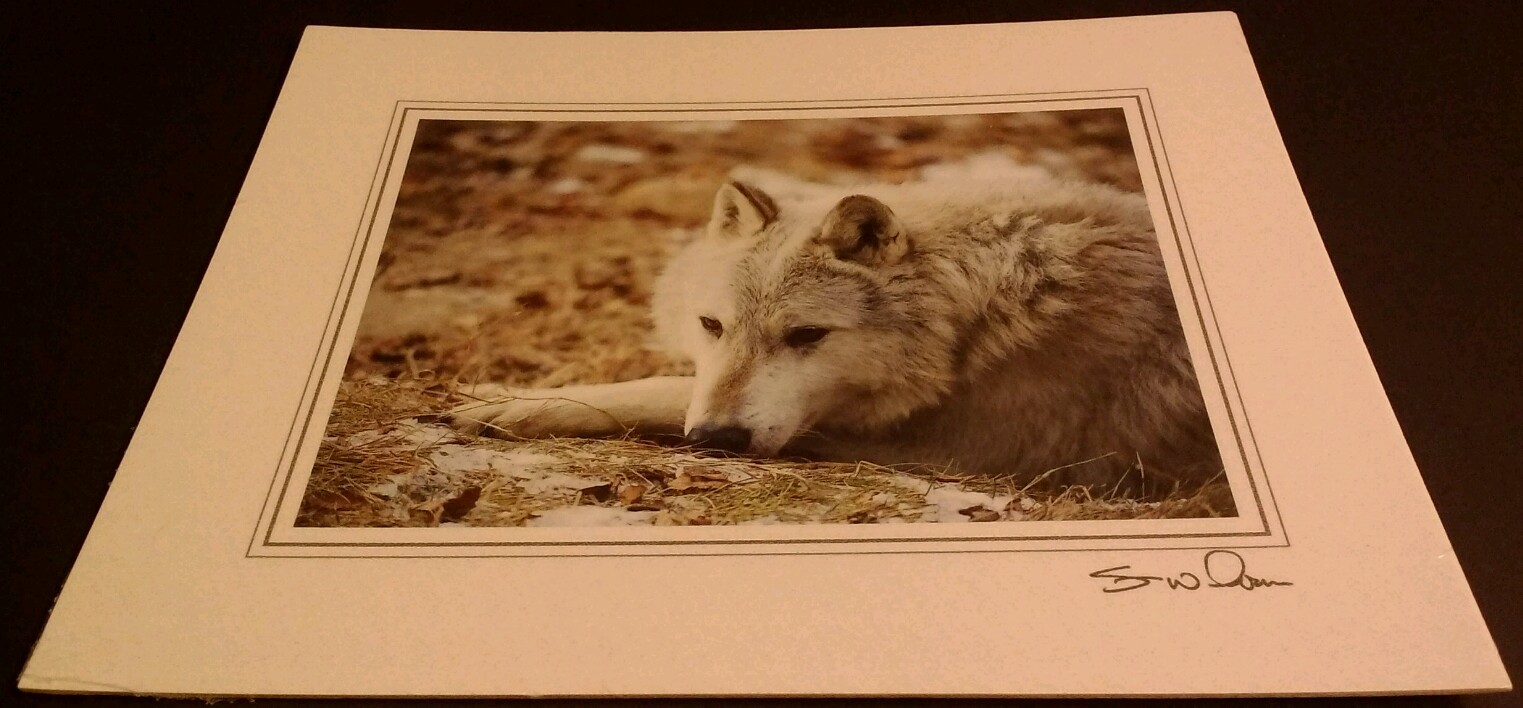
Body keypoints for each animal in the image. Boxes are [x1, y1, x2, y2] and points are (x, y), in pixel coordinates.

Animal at [444, 166, 1225, 496]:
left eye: (806, 336)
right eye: (711, 325)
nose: (716, 441)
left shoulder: (919, 446)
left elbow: (660, 391)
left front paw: (504, 405)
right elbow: (675, 381)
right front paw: (490, 389)